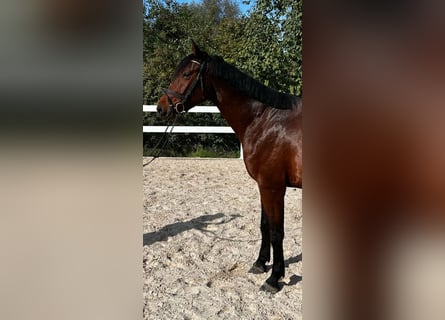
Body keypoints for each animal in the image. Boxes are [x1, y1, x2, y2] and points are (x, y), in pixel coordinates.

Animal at [157, 42, 302, 292]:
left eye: (186, 74)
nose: (161, 107)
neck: (264, 121)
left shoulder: (273, 187)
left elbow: (276, 232)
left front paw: (274, 278)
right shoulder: (263, 186)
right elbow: (264, 225)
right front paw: (260, 263)